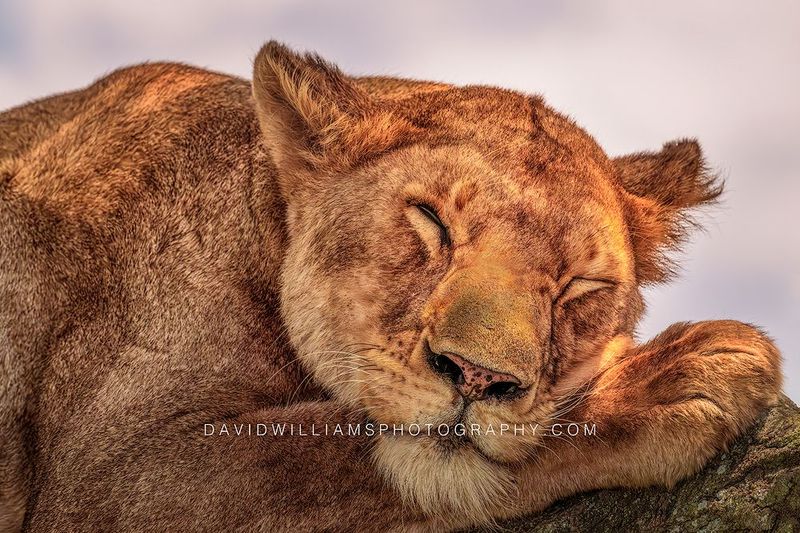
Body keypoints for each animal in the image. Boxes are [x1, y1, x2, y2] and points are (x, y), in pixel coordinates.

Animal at [0, 41, 782, 531]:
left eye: (578, 285)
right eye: (432, 221)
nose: (478, 375)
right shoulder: (116, 474)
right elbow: (323, 453)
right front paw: (670, 376)